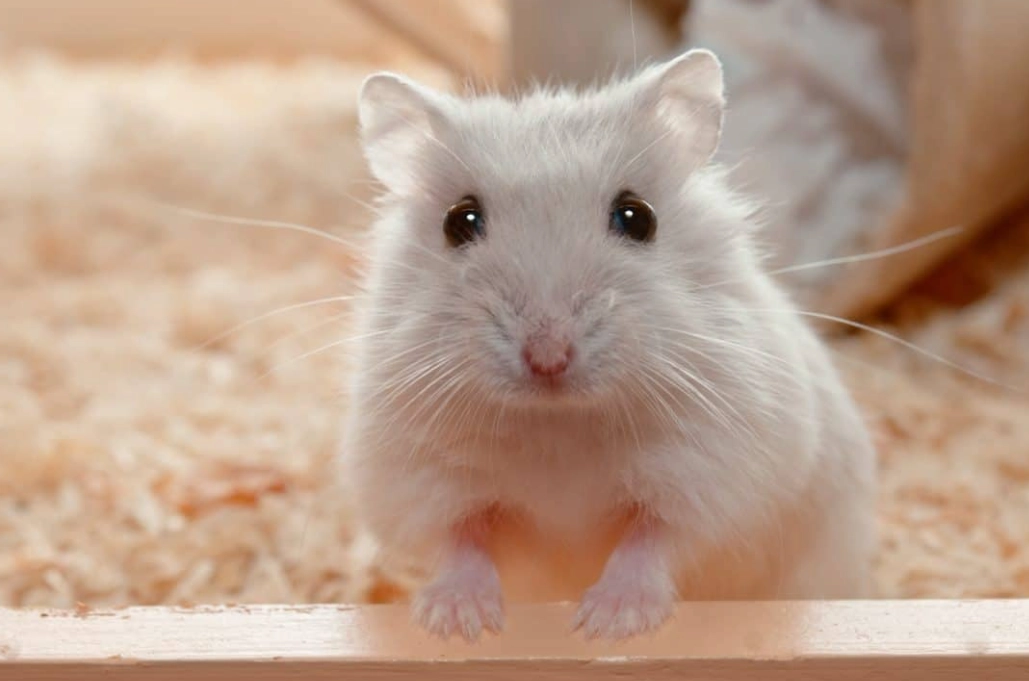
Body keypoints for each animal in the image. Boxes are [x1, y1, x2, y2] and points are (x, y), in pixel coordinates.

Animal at [339, 49, 876, 642]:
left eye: (637, 216)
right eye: (460, 221)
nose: (548, 357)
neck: (560, 424)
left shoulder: (715, 474)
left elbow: (653, 540)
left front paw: (606, 623)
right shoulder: (419, 479)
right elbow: (460, 540)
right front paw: (459, 624)